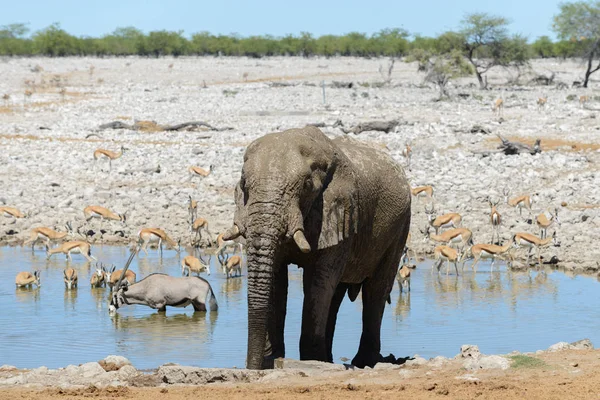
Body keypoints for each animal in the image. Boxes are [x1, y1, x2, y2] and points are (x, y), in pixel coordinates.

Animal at [221, 126, 412, 370]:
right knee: (337, 294)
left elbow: (317, 281)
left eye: (306, 187)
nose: (251, 368)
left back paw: (364, 362)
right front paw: (272, 360)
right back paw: (329, 359)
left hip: (400, 225)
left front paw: (307, 361)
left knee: (376, 289)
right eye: (243, 184)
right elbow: (277, 280)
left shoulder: (340, 211)